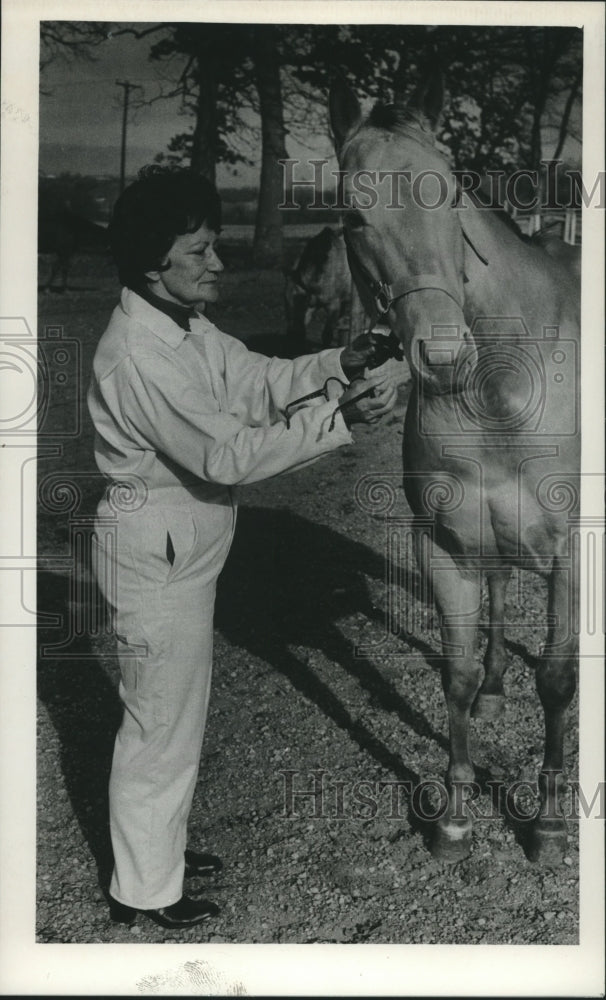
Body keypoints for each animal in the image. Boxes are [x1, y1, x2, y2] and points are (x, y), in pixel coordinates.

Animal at [330, 74, 580, 864]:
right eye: (354, 214)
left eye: (451, 196)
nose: (440, 357)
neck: (503, 384)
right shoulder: (444, 545)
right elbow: (458, 674)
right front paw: (456, 816)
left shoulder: (574, 552)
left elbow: (557, 678)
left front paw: (549, 824)